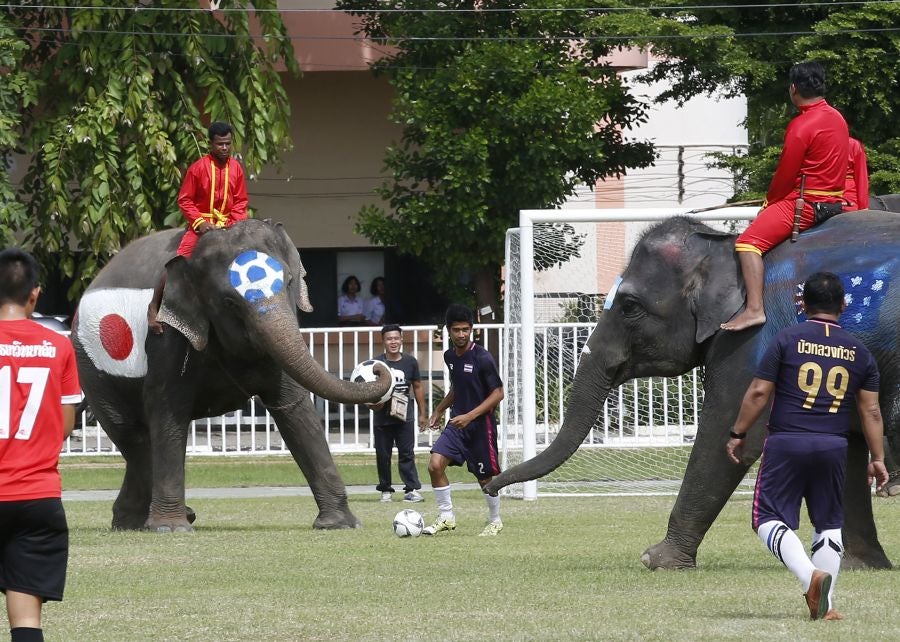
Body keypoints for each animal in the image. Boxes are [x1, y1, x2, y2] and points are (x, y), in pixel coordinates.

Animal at [72, 218, 391, 532]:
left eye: (290, 282)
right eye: (229, 302)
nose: (376, 368)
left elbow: (294, 408)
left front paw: (341, 524)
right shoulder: (166, 337)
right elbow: (167, 409)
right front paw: (171, 529)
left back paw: (146, 519)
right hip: (93, 370)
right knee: (134, 437)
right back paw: (143, 521)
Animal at [486, 209, 900, 570]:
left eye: (629, 305)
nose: (490, 486)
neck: (726, 246)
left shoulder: (753, 337)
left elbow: (726, 433)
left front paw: (656, 560)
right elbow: (845, 446)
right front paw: (861, 566)